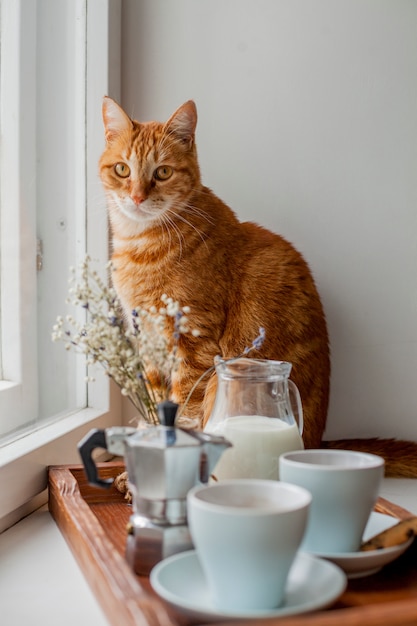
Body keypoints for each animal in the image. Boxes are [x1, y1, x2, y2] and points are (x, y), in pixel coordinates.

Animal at [100, 97, 416, 476]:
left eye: (162, 172)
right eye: (122, 169)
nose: (136, 197)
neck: (139, 244)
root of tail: (318, 443)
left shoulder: (194, 340)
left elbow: (183, 410)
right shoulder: (149, 344)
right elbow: (157, 404)